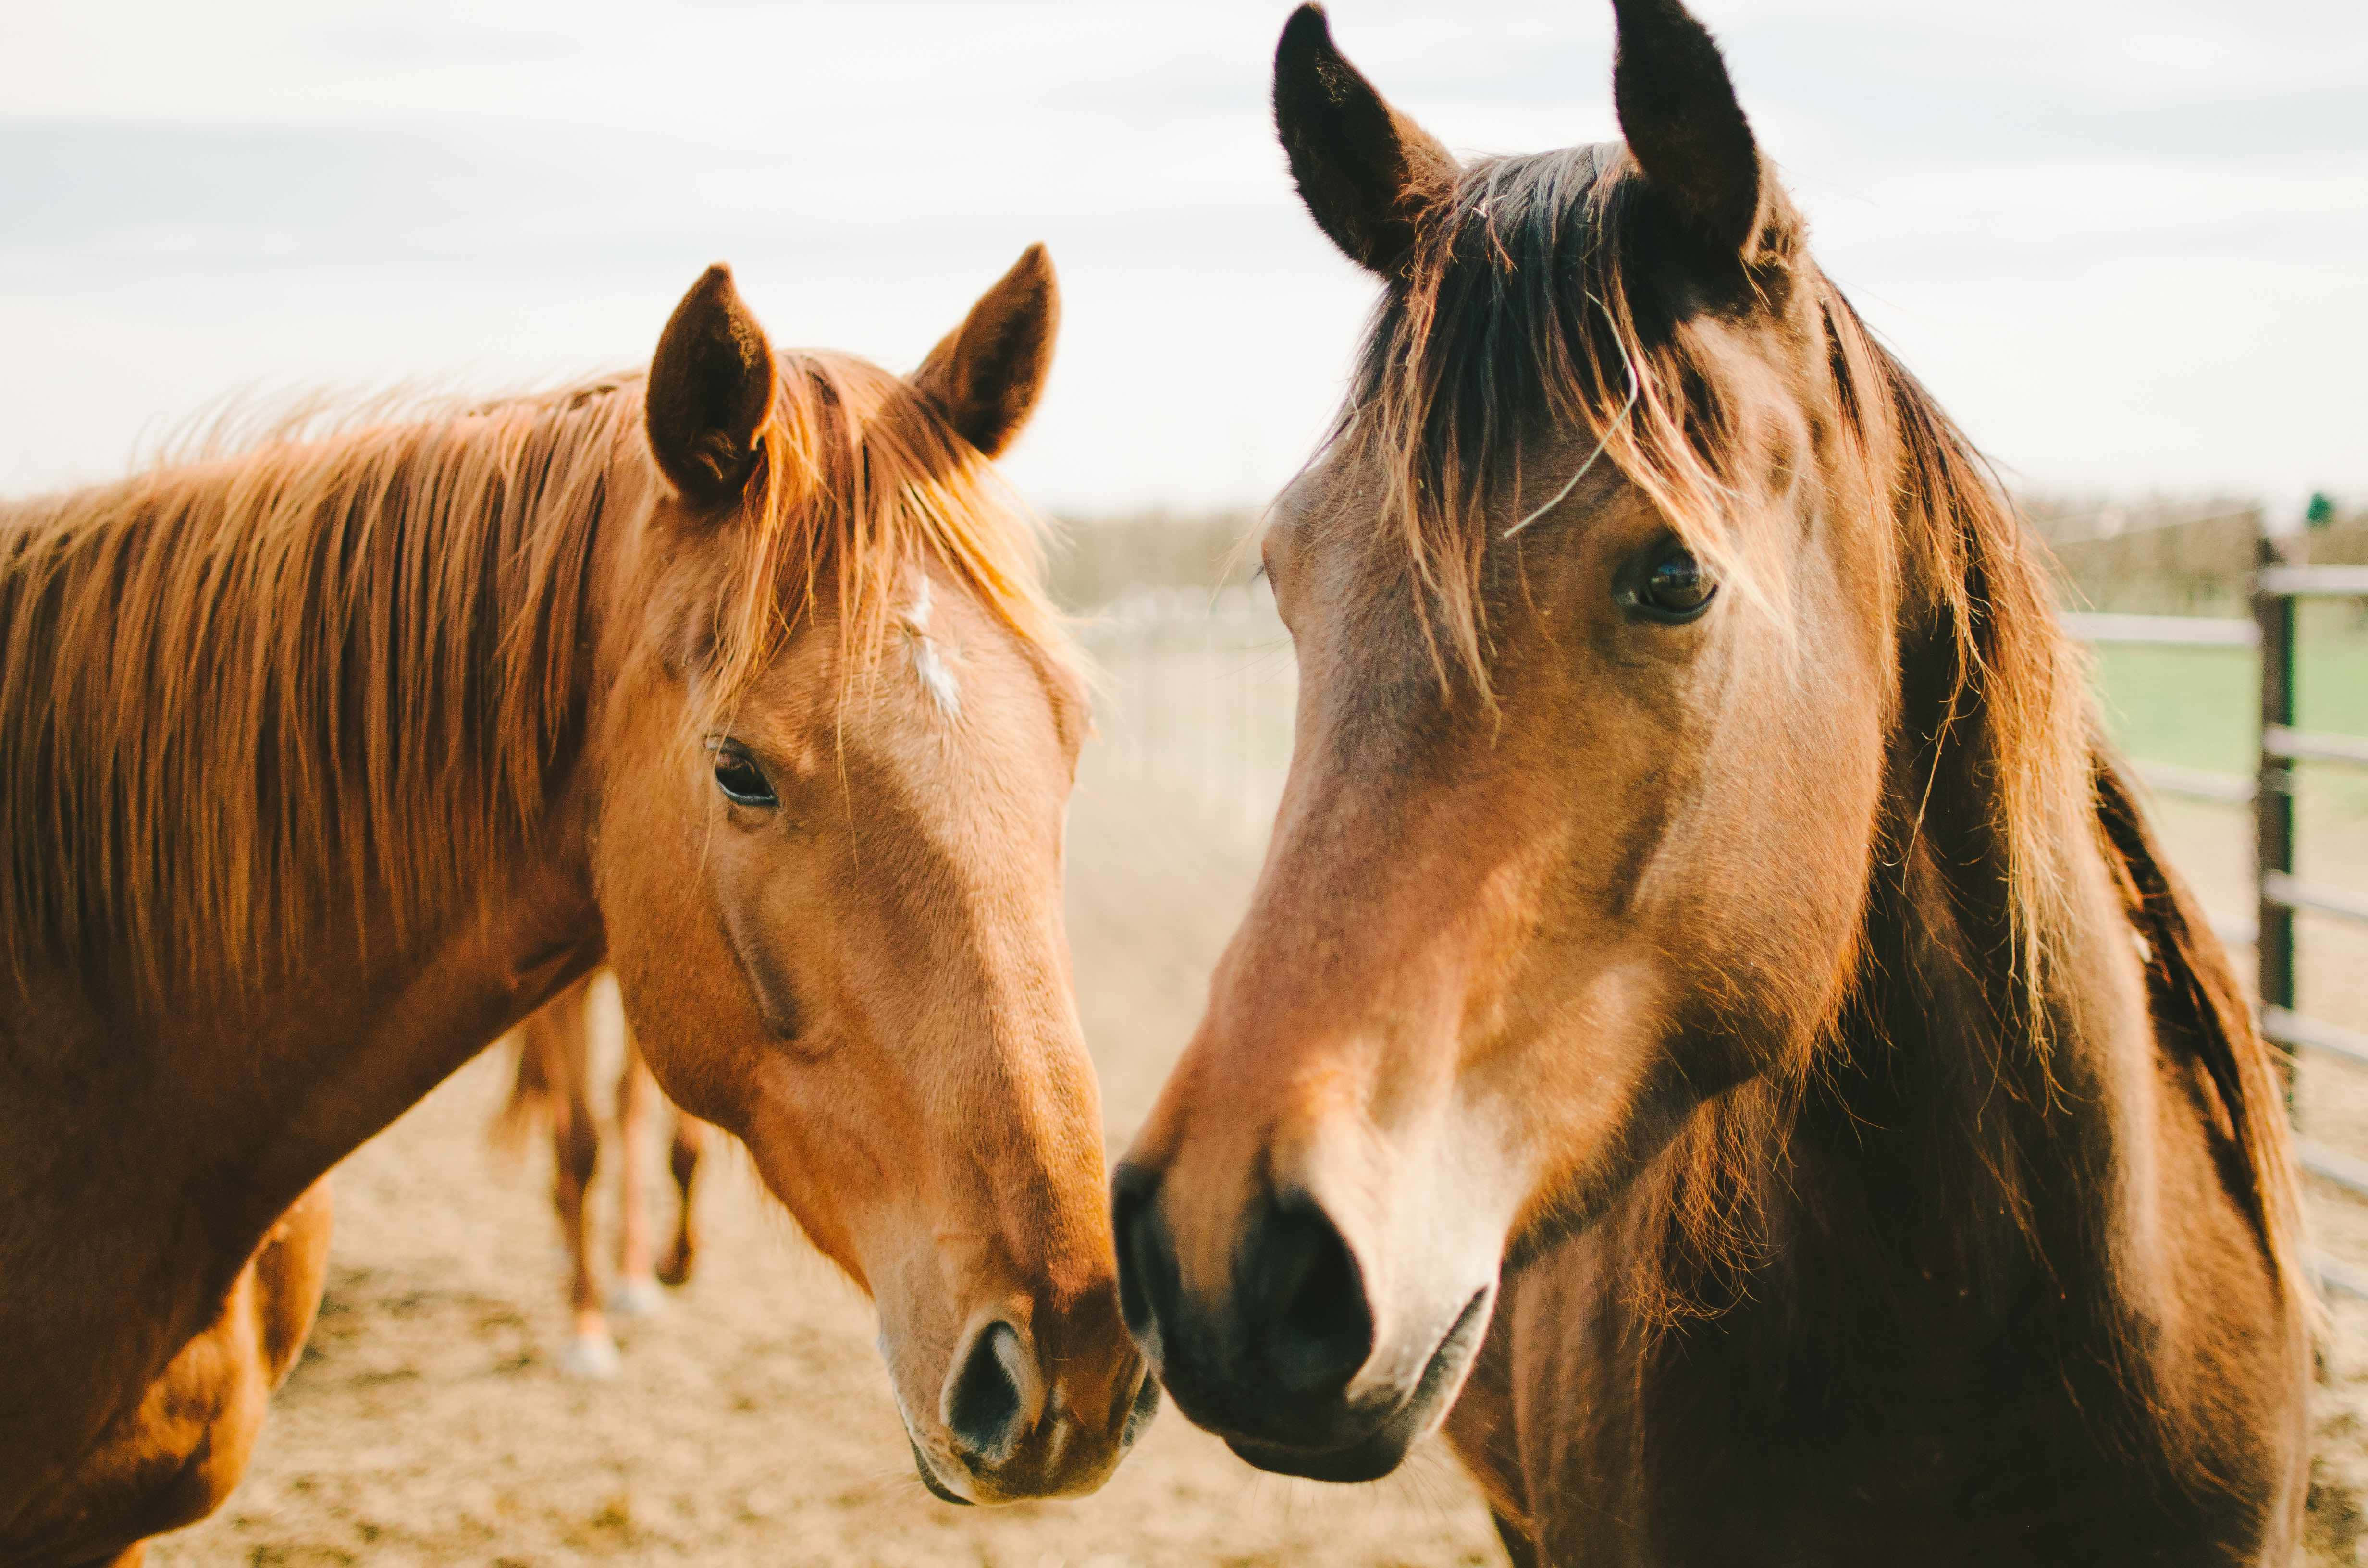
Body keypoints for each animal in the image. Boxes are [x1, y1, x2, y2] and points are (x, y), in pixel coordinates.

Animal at [493, 969, 711, 1378]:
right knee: (558, 1109)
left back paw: (633, 1273)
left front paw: (675, 1264)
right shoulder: (562, 998)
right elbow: (579, 1149)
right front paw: (587, 1334)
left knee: (626, 1105)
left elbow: (687, 1147)